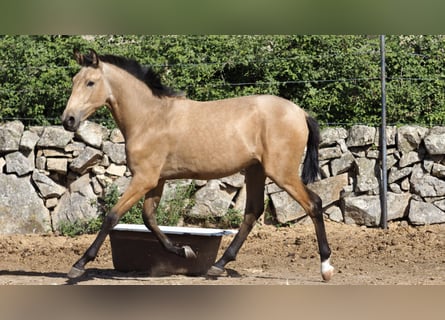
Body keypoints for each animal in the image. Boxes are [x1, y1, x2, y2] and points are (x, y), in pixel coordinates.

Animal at [61, 48, 332, 282]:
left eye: (90, 82)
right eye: (74, 80)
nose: (68, 120)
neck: (150, 118)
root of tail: (301, 113)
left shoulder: (144, 178)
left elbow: (112, 216)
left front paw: (78, 265)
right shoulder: (156, 180)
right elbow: (149, 218)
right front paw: (185, 251)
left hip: (282, 173)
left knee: (314, 204)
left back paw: (326, 268)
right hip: (256, 171)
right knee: (252, 212)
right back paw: (218, 265)